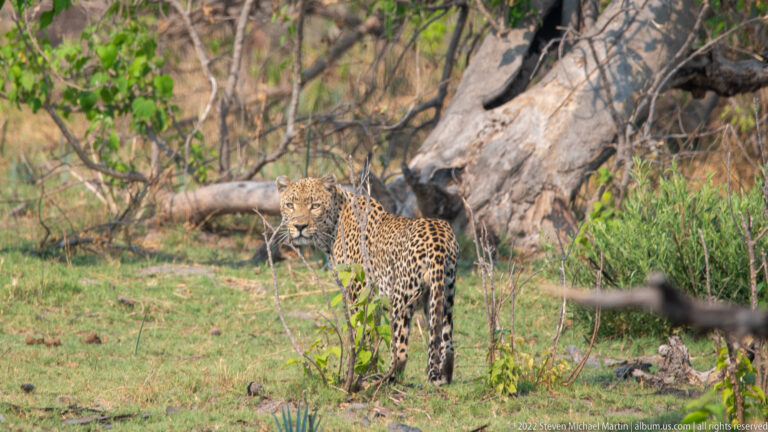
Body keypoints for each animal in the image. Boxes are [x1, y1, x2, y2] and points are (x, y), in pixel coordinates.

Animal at [276, 173, 458, 385]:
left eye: (315, 205)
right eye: (290, 205)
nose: (299, 226)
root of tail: (439, 241)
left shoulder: (359, 291)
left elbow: (359, 334)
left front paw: (354, 374)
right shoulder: (374, 300)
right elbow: (372, 335)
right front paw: (368, 368)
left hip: (401, 299)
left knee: (400, 351)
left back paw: (383, 380)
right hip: (444, 296)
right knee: (447, 343)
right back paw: (442, 377)